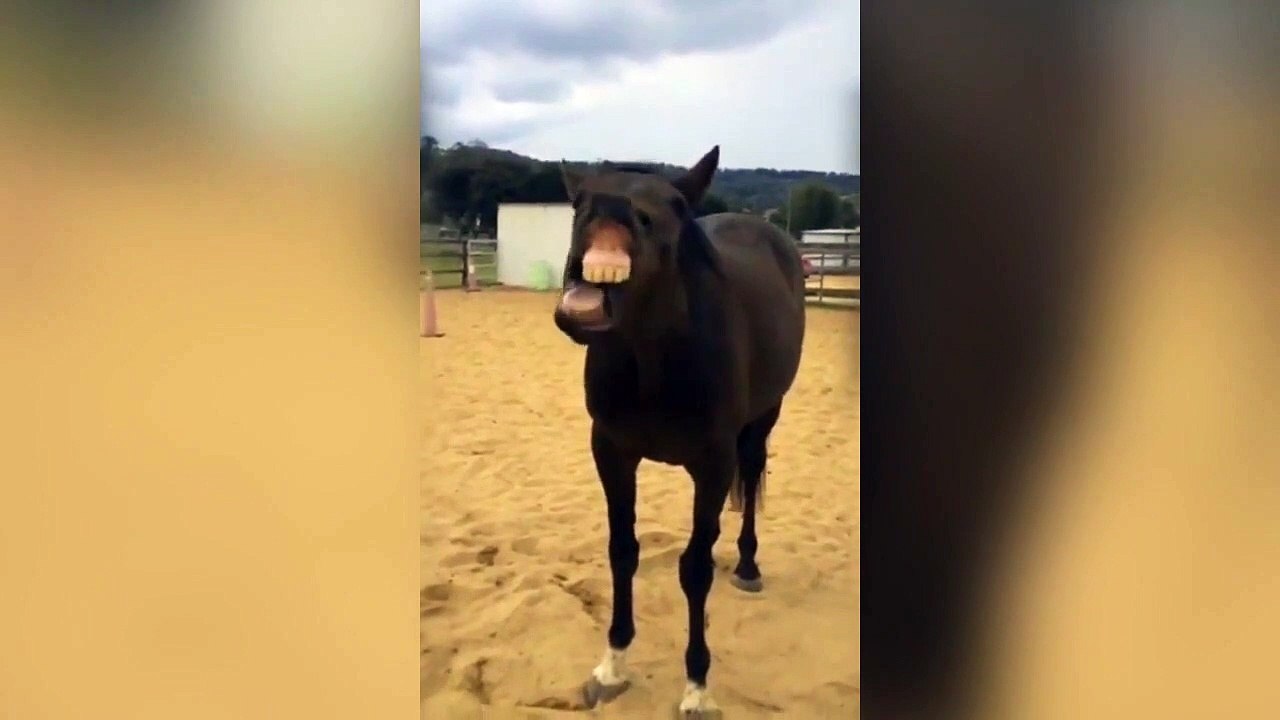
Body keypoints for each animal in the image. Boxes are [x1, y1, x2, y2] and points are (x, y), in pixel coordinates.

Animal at [552, 146, 806, 718]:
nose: (609, 210)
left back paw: (748, 566)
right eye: (579, 202)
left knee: (750, 474)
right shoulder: (611, 451)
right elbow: (622, 550)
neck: (654, 362)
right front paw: (612, 665)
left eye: (670, 206)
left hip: (764, 418)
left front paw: (696, 687)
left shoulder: (712, 464)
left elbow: (694, 572)